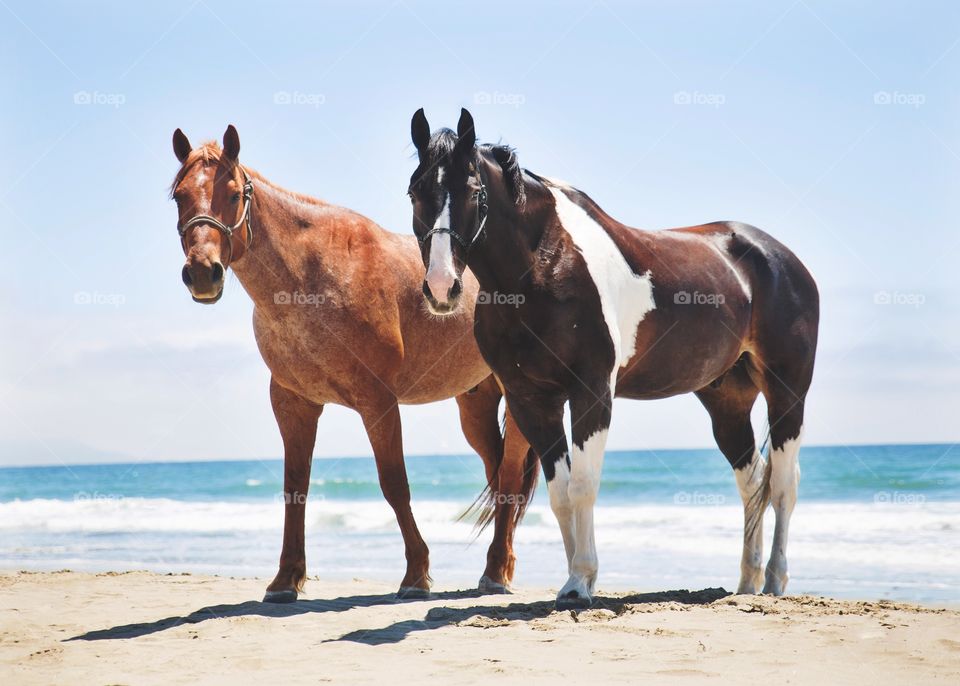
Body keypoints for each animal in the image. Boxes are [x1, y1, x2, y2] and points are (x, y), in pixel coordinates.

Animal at [169, 126, 536, 604]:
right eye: (179, 196)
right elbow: (295, 488)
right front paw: (286, 579)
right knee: (498, 475)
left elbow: (394, 484)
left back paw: (496, 572)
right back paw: (500, 564)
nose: (202, 273)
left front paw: (416, 574)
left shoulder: (377, 402)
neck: (314, 276)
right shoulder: (293, 404)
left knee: (509, 476)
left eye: (232, 193)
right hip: (474, 405)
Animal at [408, 110, 820, 612]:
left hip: (787, 392)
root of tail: (781, 257)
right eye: (415, 192)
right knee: (753, 481)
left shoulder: (592, 393)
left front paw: (581, 582)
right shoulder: (532, 401)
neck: (545, 265)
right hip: (727, 401)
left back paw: (776, 580)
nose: (441, 287)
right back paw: (747, 580)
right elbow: (561, 492)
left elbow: (584, 485)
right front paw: (572, 580)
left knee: (783, 483)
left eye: (472, 190)